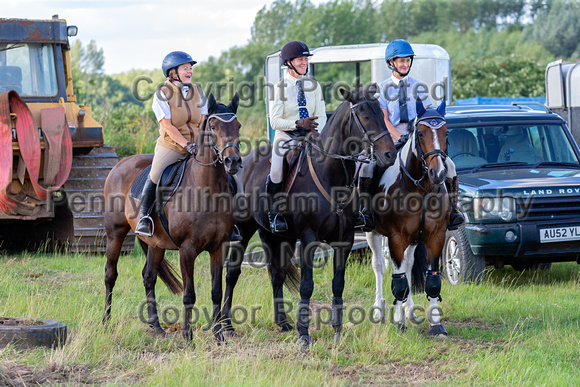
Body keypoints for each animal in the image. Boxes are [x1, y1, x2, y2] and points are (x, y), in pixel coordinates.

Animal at [103, 93, 241, 342]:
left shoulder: (220, 246)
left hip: (156, 243)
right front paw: (187, 336)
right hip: (115, 233)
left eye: (238, 126)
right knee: (111, 275)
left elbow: (216, 291)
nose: (232, 161)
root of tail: (120, 164)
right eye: (213, 126)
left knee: (149, 276)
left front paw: (218, 334)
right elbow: (189, 294)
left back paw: (156, 326)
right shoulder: (187, 249)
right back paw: (106, 322)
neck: (207, 190)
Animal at [223, 86, 398, 348]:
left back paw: (282, 323)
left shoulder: (344, 240)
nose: (390, 154)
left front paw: (337, 332)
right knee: (233, 273)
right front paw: (304, 335)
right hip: (244, 230)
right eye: (365, 116)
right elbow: (307, 286)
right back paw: (226, 325)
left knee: (276, 274)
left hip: (276, 235)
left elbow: (338, 284)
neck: (331, 176)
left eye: (381, 112)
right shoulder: (308, 238)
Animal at [364, 99, 450, 336]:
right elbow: (399, 281)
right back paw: (380, 311)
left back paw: (410, 311)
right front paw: (398, 321)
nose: (438, 173)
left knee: (409, 265)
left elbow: (432, 280)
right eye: (420, 133)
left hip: (413, 239)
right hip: (373, 233)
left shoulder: (436, 236)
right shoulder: (396, 238)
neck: (420, 189)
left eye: (446, 133)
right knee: (380, 267)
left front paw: (436, 323)